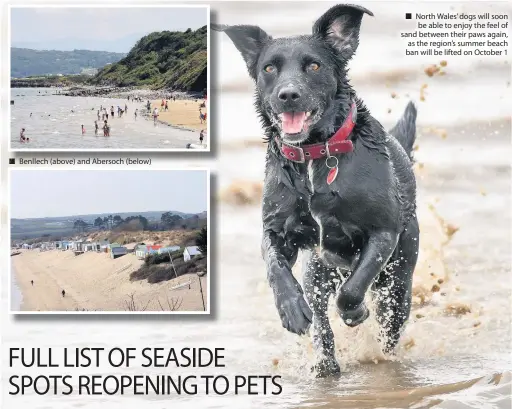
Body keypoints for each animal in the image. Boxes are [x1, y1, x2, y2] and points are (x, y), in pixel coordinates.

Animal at [214, 3, 418, 376]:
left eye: (313, 65)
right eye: (269, 68)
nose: (288, 95)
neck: (313, 155)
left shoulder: (382, 232)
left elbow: (353, 287)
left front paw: (355, 311)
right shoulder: (277, 231)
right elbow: (275, 266)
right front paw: (291, 309)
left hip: (399, 282)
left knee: (387, 323)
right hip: (317, 273)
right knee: (322, 321)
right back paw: (326, 363)